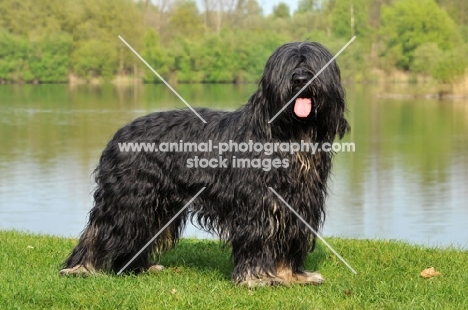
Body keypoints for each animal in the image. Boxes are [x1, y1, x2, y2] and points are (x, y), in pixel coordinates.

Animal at [60, 41, 350, 288]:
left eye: (310, 64)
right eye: (290, 65)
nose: (301, 79)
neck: (289, 134)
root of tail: (120, 132)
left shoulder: (296, 204)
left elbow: (288, 241)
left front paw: (291, 275)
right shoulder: (257, 204)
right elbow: (257, 240)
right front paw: (256, 278)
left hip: (157, 203)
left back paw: (136, 267)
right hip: (129, 197)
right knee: (101, 229)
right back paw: (80, 268)